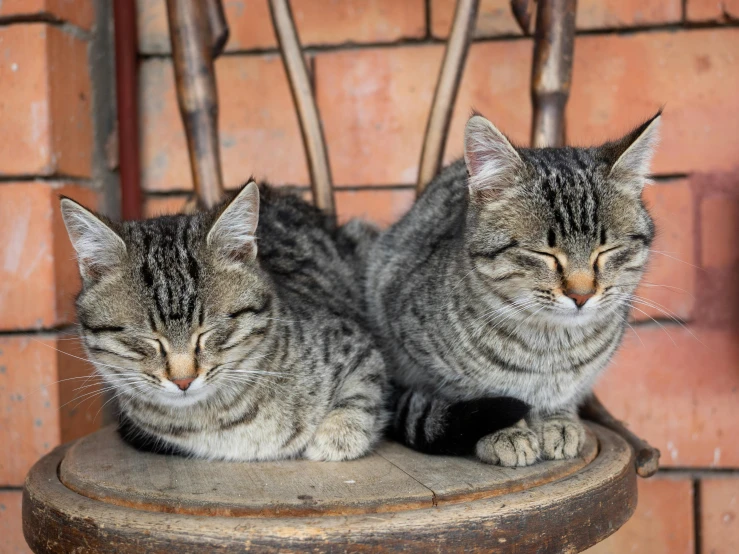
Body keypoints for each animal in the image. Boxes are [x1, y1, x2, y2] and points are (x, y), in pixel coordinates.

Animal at [60, 182, 390, 462]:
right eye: (149, 339)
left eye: (208, 331)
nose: (183, 381)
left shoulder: (359, 346)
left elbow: (363, 390)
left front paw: (339, 434)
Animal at [368, 112, 660, 466]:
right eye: (543, 254)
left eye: (606, 250)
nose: (581, 295)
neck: (550, 347)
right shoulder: (415, 349)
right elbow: (475, 392)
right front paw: (506, 433)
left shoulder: (582, 376)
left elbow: (565, 393)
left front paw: (557, 420)